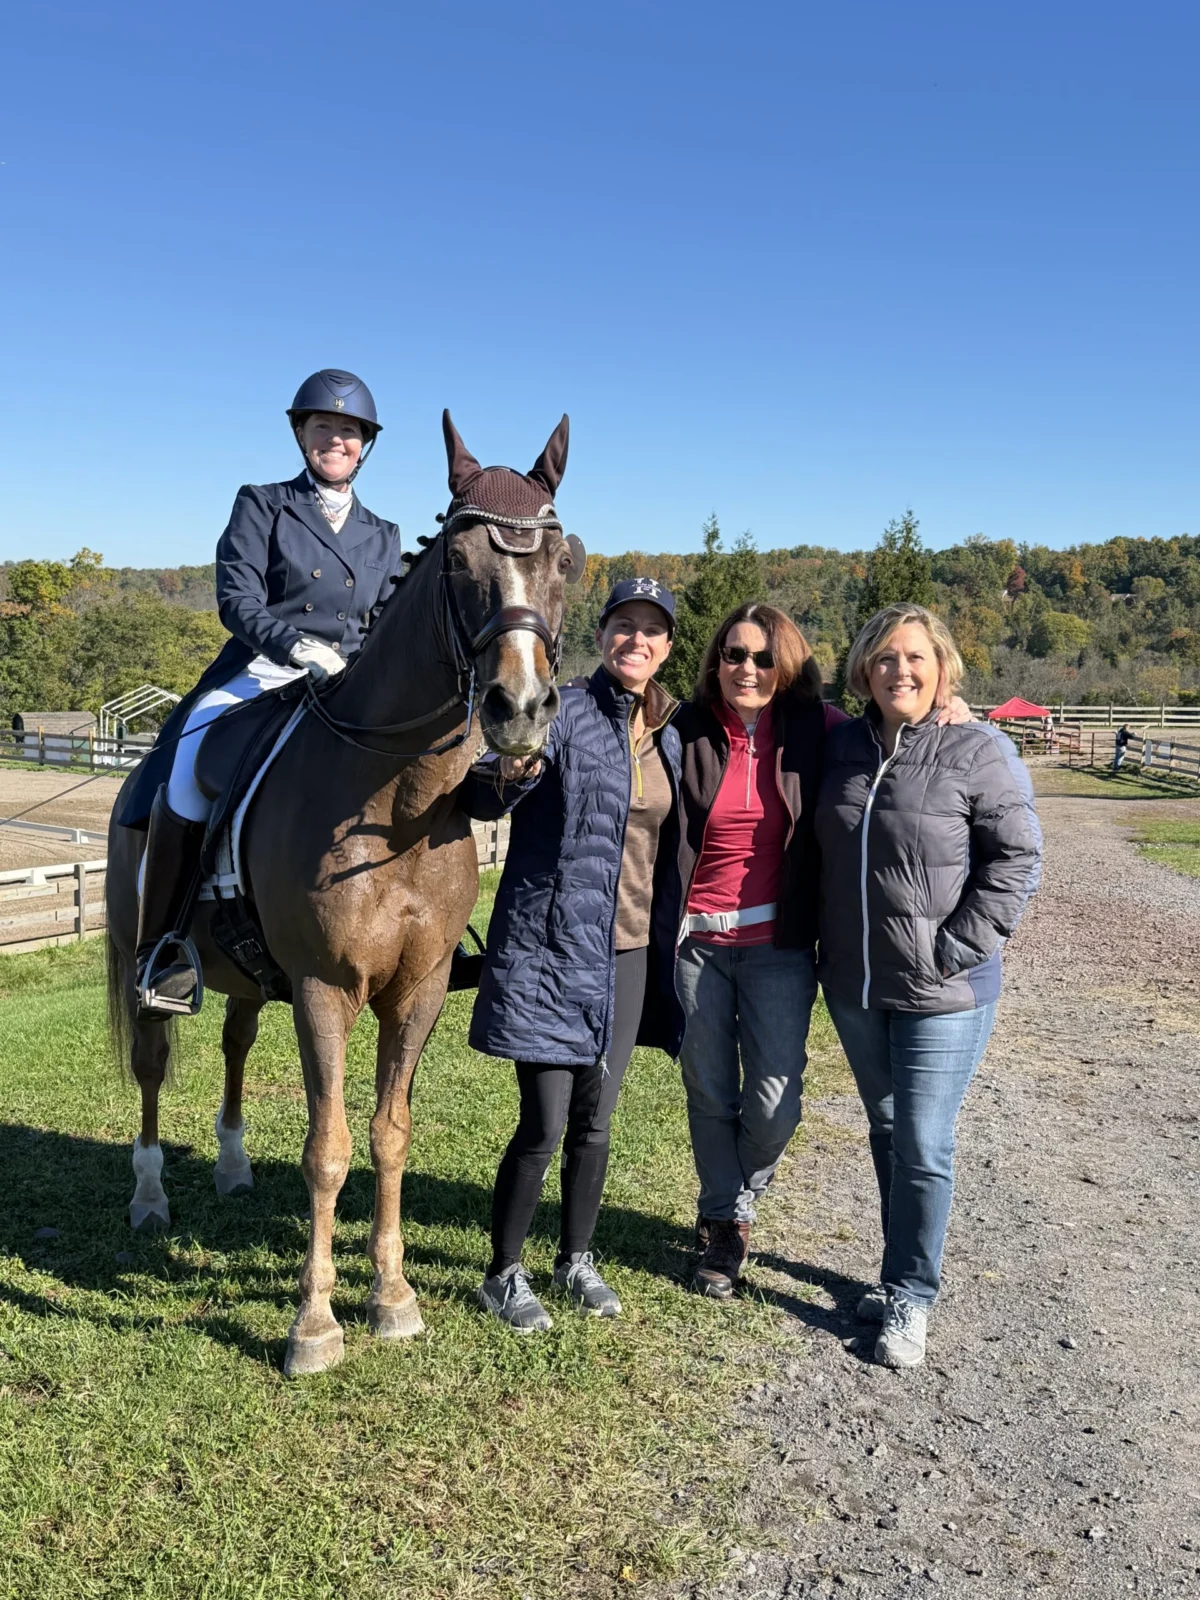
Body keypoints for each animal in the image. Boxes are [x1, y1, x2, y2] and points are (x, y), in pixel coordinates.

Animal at [105, 411, 579, 1377]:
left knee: (237, 1042)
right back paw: (150, 1194)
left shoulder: (417, 990)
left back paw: (232, 1168)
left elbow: (390, 1135)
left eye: (563, 560)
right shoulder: (326, 991)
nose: (520, 710)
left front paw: (392, 1297)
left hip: (249, 976)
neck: (394, 802)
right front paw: (314, 1324)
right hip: (149, 961)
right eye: (459, 561)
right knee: (152, 1065)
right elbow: (328, 1149)